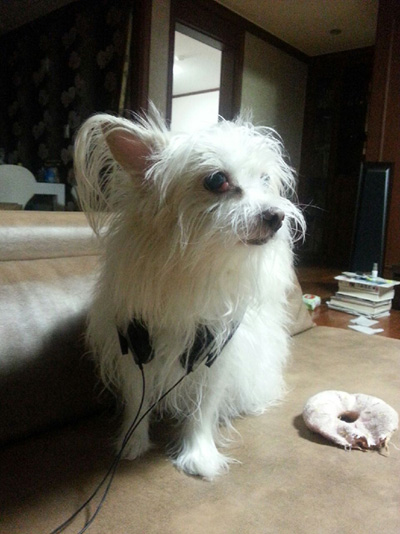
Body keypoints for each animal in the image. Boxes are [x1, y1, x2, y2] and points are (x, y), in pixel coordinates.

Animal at [74, 107, 305, 479]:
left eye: (265, 180)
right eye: (217, 180)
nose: (277, 216)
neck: (194, 264)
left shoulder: (214, 349)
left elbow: (203, 406)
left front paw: (199, 454)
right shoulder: (136, 345)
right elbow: (137, 397)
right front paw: (132, 443)